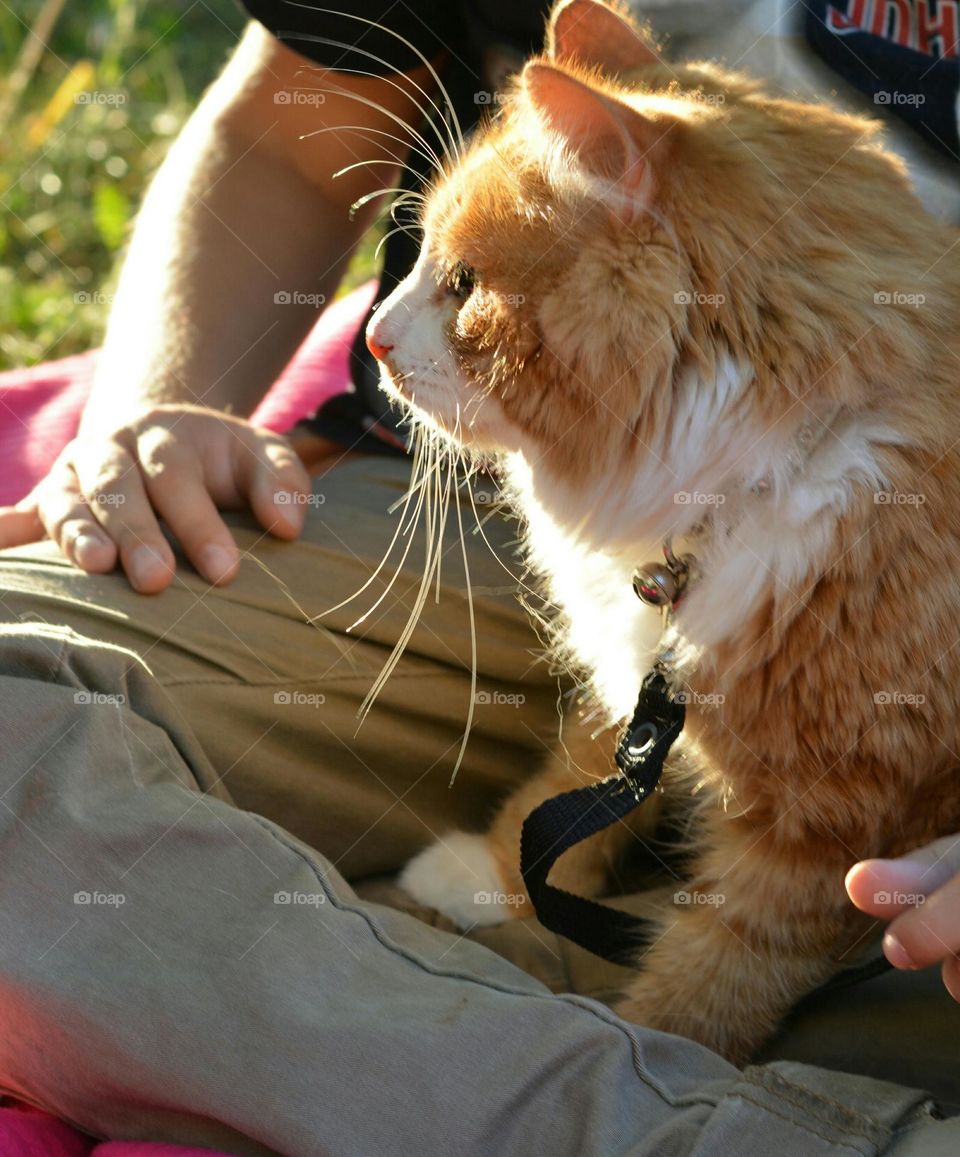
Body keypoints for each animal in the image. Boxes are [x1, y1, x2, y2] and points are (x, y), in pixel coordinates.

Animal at [365, 0, 960, 1064]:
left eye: (464, 285)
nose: (372, 336)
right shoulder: (645, 683)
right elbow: (574, 784)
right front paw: (490, 877)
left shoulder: (835, 824)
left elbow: (712, 977)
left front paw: (654, 1042)